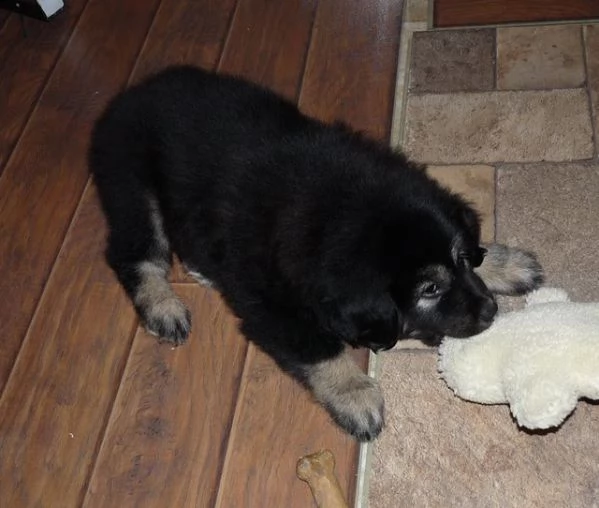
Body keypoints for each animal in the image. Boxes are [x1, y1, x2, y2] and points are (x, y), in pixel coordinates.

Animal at [89, 66, 544, 440]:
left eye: (462, 259)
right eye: (428, 289)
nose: (490, 311)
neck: (340, 210)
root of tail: (124, 98)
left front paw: (504, 262)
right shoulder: (269, 305)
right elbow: (319, 348)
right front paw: (354, 393)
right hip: (133, 189)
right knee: (133, 253)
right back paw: (163, 306)